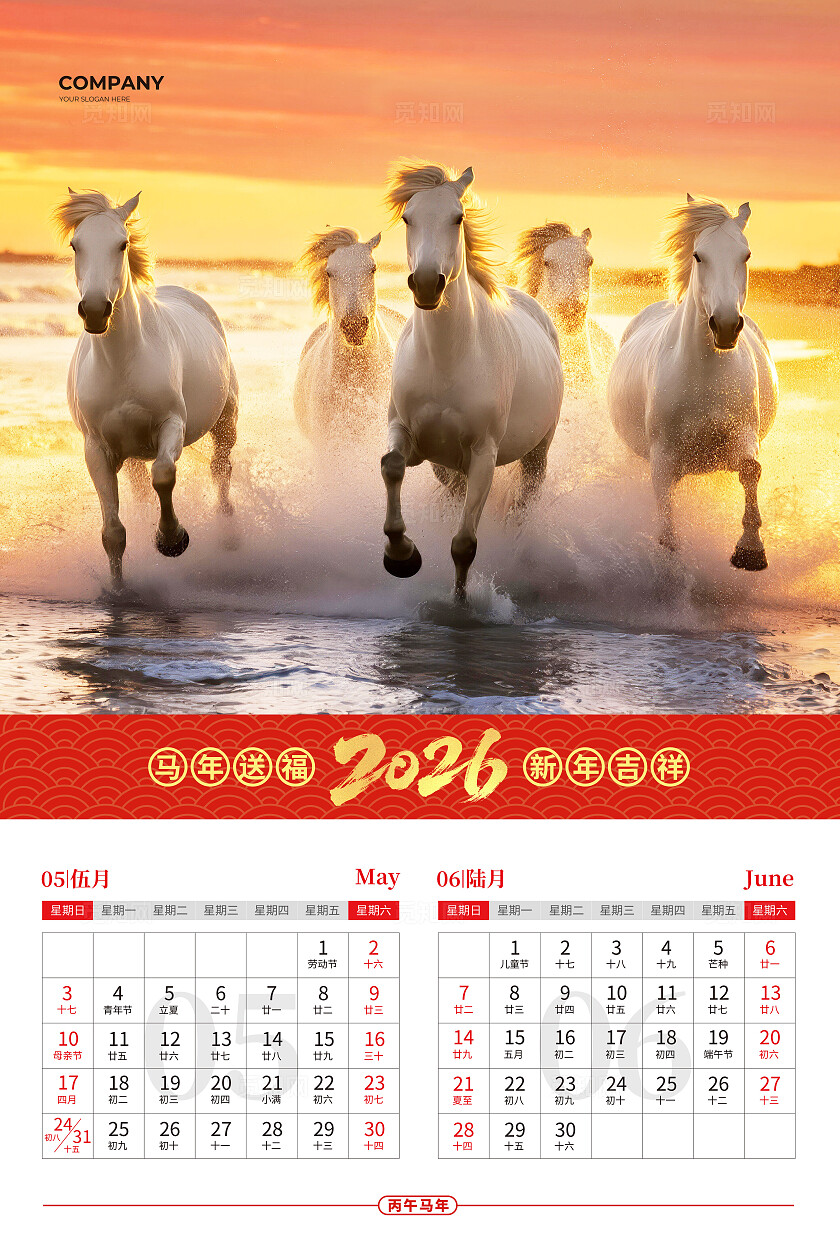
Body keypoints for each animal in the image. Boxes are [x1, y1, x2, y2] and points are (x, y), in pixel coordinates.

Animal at [54, 189, 238, 589]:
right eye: (76, 245)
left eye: (122, 244)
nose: (95, 310)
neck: (123, 363)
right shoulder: (97, 450)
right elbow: (112, 532)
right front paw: (118, 591)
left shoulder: (172, 425)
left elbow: (164, 475)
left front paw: (172, 540)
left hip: (226, 422)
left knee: (221, 470)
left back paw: (228, 535)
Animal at [380, 162, 564, 601]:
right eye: (408, 218)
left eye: (457, 217)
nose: (426, 283)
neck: (448, 359)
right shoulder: (408, 436)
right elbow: (391, 465)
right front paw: (402, 556)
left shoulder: (483, 455)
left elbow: (464, 544)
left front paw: (460, 602)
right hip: (447, 468)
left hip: (537, 454)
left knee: (523, 505)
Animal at [607, 195, 778, 570]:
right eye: (699, 255)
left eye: (746, 255)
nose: (726, 325)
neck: (705, 380)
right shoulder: (662, 461)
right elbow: (668, 535)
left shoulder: (743, 435)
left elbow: (750, 469)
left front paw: (750, 549)